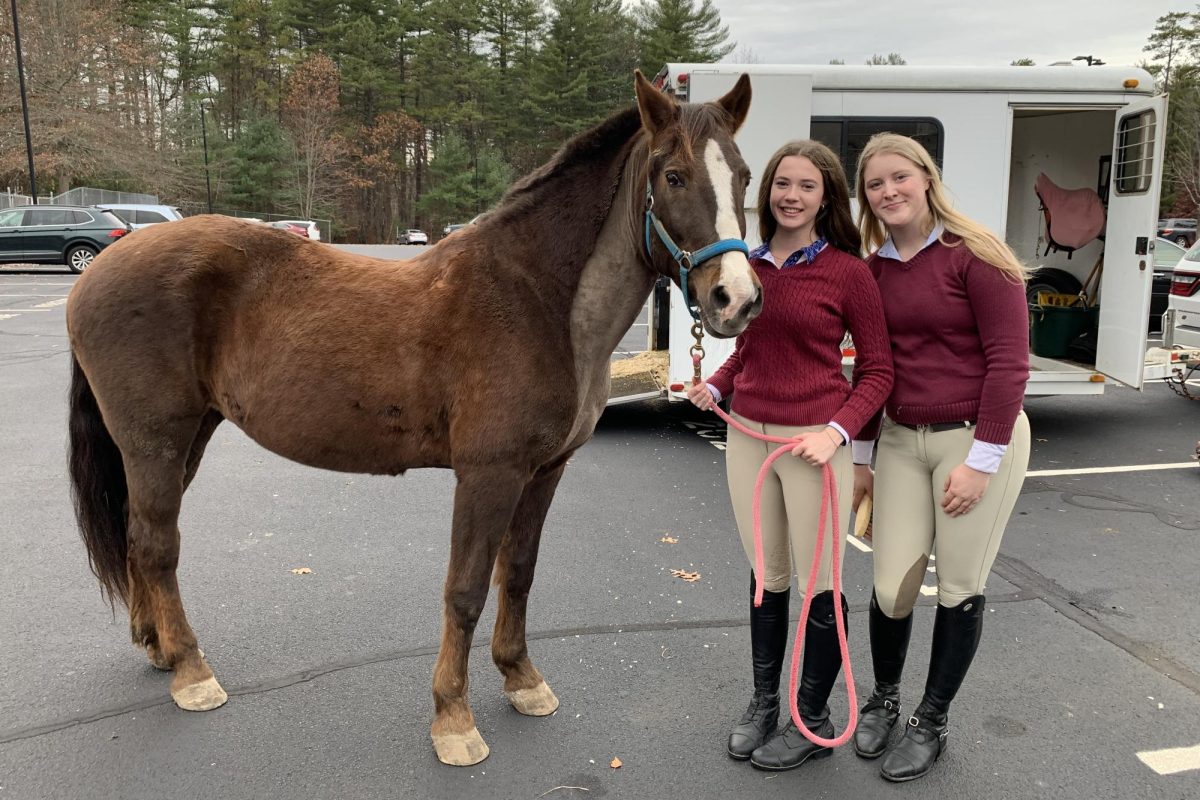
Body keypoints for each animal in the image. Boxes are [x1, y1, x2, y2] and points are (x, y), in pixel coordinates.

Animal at [65, 70, 761, 766]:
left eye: (745, 175)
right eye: (673, 175)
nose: (737, 300)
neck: (538, 299)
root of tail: (96, 271)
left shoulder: (544, 472)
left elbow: (519, 573)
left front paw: (522, 680)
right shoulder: (488, 474)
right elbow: (466, 590)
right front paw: (453, 718)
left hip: (186, 439)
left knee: (136, 533)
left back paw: (156, 646)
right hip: (155, 442)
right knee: (156, 545)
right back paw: (191, 672)